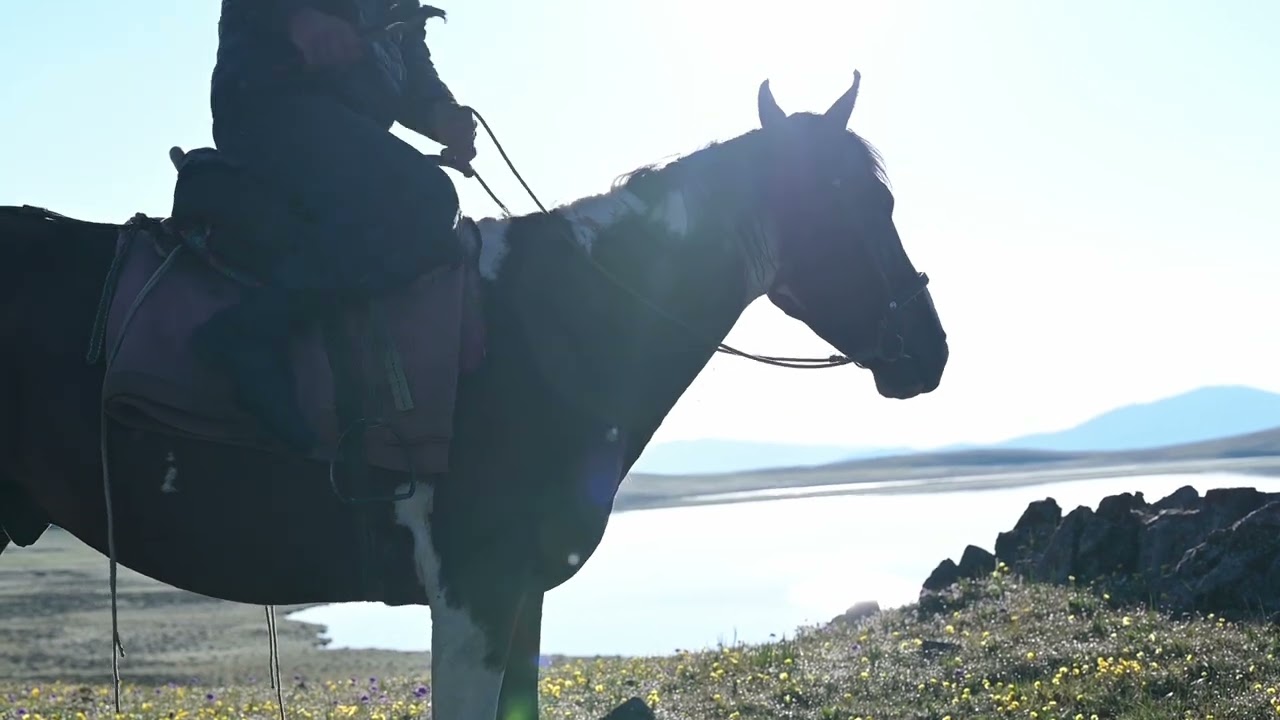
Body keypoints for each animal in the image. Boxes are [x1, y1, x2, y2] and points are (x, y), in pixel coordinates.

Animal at [0, 75, 947, 719]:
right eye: (841, 204)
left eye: (885, 198)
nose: (929, 352)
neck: (550, 324)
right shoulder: (473, 597)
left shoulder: (521, 599)